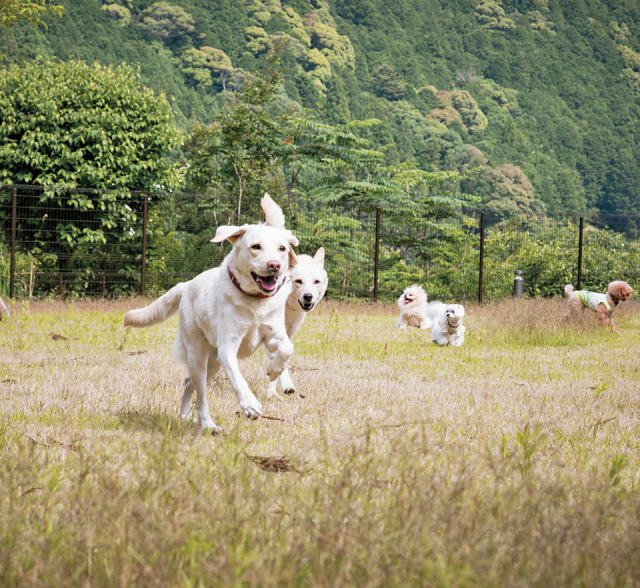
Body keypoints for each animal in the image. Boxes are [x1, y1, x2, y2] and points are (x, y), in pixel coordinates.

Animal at [124, 194, 298, 432]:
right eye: (255, 247)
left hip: (213, 363)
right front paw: (250, 404)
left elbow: (287, 348)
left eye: (282, 248)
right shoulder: (227, 348)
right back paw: (207, 424)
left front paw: (274, 369)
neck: (254, 301)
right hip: (199, 356)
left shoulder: (273, 335)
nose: (275, 265)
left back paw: (184, 415)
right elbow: (238, 379)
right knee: (201, 395)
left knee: (189, 383)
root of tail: (186, 285)